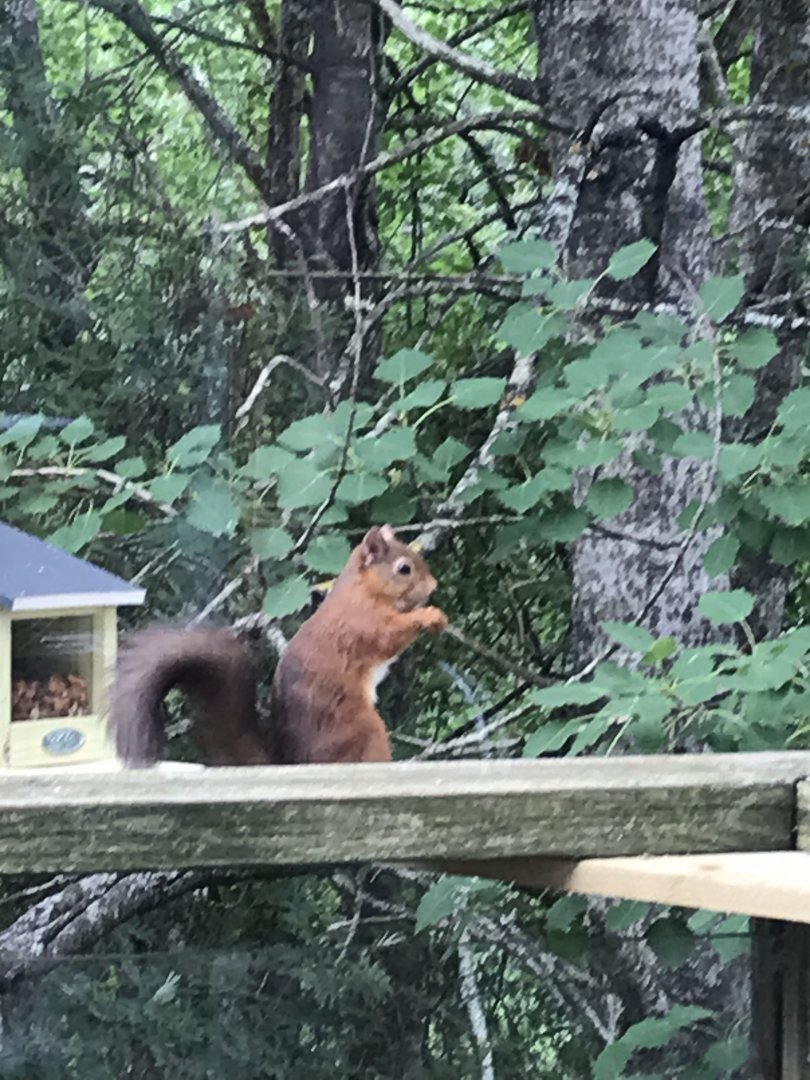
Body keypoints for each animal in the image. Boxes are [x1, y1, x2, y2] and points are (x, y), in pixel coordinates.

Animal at [110, 524, 447, 766]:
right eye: (404, 568)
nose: (434, 586)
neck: (362, 590)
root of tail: (297, 761)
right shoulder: (361, 622)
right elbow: (388, 636)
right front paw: (430, 616)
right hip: (360, 729)